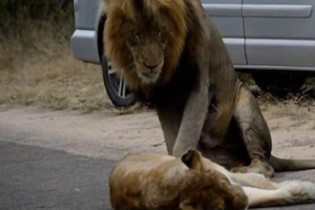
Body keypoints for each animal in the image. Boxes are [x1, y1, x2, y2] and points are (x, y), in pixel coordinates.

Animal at [103, 0, 315, 177]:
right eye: (136, 34)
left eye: (159, 31)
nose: (151, 65)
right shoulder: (164, 97)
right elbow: (173, 137)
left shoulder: (200, 84)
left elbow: (185, 134)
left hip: (245, 104)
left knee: (265, 165)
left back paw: (244, 171)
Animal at [110, 148, 315, 209]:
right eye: (220, 208)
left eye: (224, 183)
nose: (243, 201)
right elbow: (270, 195)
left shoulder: (231, 182)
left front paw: (304, 188)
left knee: (258, 180)